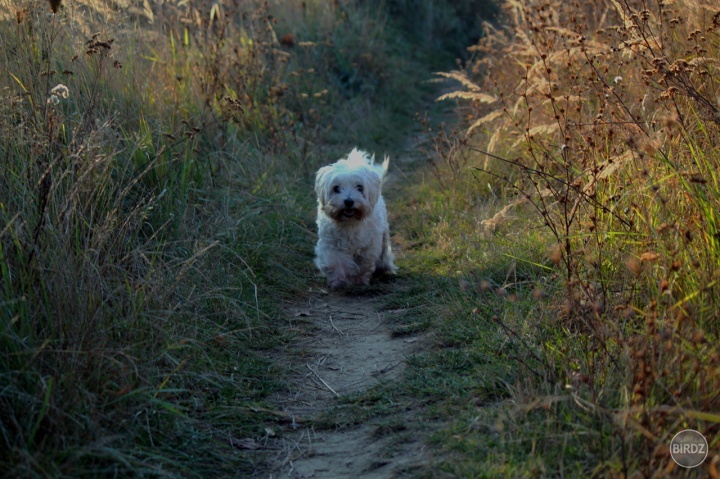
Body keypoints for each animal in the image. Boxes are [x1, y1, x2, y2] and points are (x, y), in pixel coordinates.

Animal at [312, 148, 396, 288]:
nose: (348, 201)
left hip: (383, 236)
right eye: (336, 188)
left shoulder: (368, 246)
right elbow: (335, 262)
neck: (349, 224)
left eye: (359, 187)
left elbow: (363, 265)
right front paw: (338, 280)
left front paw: (358, 280)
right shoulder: (331, 244)